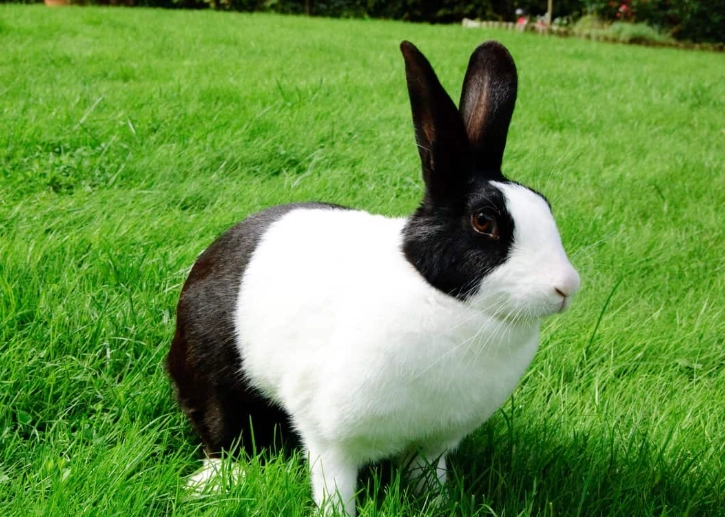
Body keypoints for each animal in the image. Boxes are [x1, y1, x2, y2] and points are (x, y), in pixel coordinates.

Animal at [166, 40, 581, 516]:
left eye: (544, 204)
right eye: (484, 221)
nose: (566, 287)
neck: (445, 301)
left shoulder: (435, 443)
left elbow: (427, 477)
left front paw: (438, 506)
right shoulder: (330, 439)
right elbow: (335, 486)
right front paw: (337, 513)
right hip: (215, 378)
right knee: (223, 434)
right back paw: (214, 482)